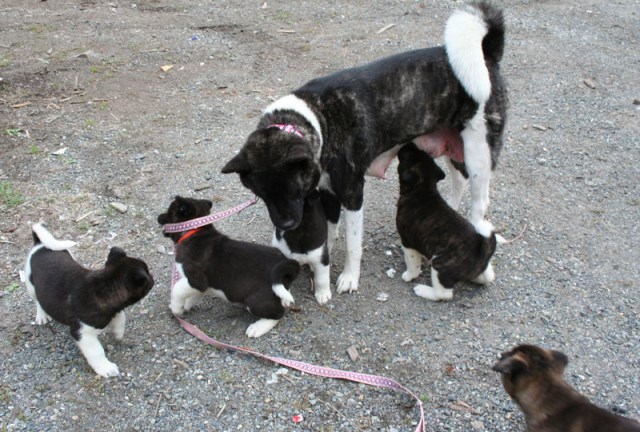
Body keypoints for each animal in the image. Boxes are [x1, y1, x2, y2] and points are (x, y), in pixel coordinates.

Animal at [222, 1, 508, 298]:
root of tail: (487, 53)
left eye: (293, 191)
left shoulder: (352, 192)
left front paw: (349, 276)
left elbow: (352, 244)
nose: (287, 225)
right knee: (458, 179)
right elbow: (329, 229)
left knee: (479, 202)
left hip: (479, 153)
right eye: (262, 195)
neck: (317, 119)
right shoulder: (327, 189)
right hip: (455, 147)